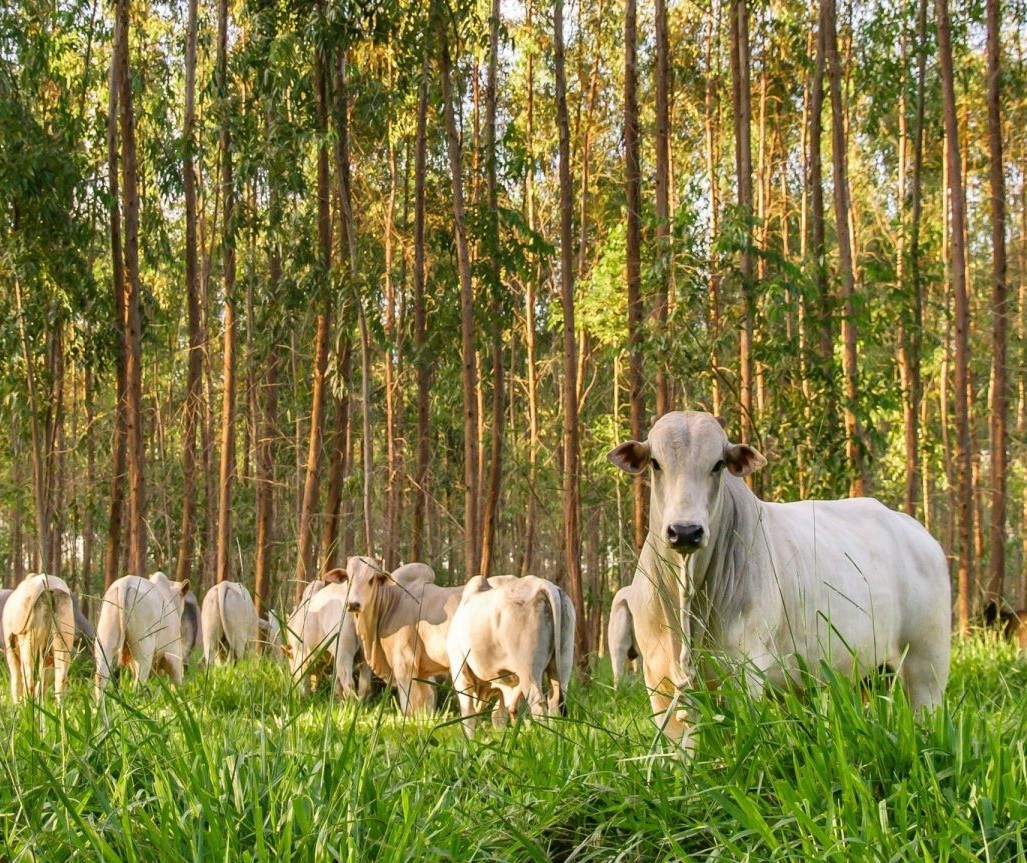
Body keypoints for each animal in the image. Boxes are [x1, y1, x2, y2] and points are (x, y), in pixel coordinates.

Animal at [2, 571, 75, 702]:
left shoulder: (10, 649)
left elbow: (16, 681)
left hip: (30, 638)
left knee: (28, 679)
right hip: (64, 634)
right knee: (60, 679)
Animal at [449, 571, 579, 735]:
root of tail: (543, 584)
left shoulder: (460, 672)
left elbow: (469, 715)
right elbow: (501, 713)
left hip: (528, 668)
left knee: (538, 703)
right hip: (562, 661)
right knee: (555, 701)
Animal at [603, 408, 948, 739]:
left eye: (717, 464)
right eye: (656, 463)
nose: (685, 532)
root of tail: (920, 533)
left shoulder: (744, 674)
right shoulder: (661, 682)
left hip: (926, 668)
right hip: (869, 676)